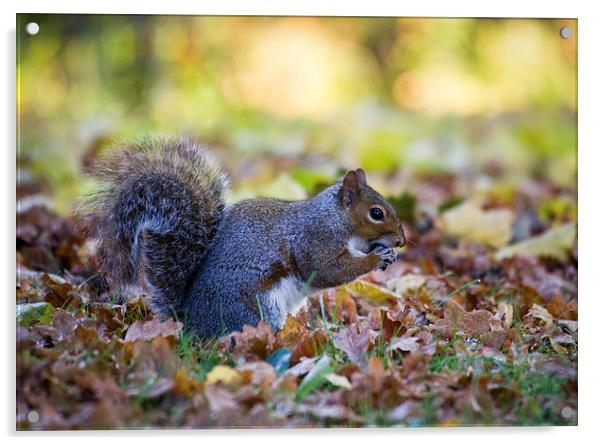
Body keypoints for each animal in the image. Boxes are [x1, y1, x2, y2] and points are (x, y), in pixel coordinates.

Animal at [81, 137, 404, 334]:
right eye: (376, 213)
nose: (401, 241)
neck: (336, 218)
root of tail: (191, 321)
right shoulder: (316, 238)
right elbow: (330, 269)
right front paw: (376, 258)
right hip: (257, 307)